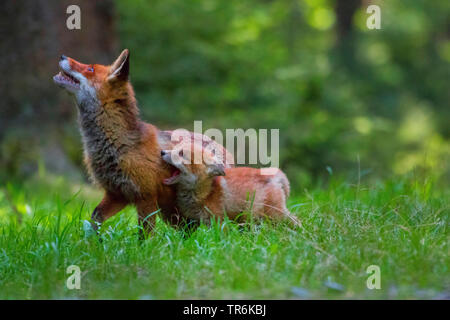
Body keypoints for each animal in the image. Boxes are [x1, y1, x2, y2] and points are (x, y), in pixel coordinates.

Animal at [53, 49, 232, 235]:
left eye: (90, 69)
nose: (62, 56)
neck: (117, 145)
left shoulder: (146, 196)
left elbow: (144, 235)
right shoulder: (117, 193)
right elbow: (94, 220)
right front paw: (92, 241)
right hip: (174, 214)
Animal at [160, 144, 300, 226]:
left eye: (181, 154)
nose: (162, 152)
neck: (205, 192)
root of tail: (274, 174)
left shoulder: (217, 221)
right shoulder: (193, 221)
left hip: (269, 214)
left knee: (296, 220)